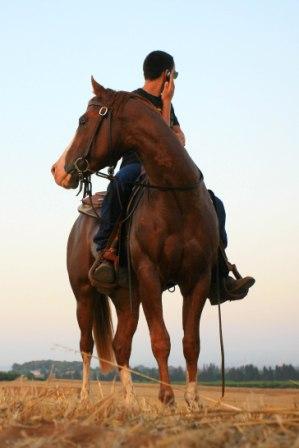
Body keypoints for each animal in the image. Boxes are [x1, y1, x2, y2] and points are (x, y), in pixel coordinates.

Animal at [51, 78, 219, 406]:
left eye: (83, 121)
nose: (57, 169)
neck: (175, 197)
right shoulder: (150, 275)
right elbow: (160, 339)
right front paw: (166, 397)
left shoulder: (198, 279)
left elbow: (191, 342)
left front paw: (193, 400)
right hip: (84, 294)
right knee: (86, 344)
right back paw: (84, 396)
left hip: (125, 297)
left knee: (120, 344)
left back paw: (129, 401)